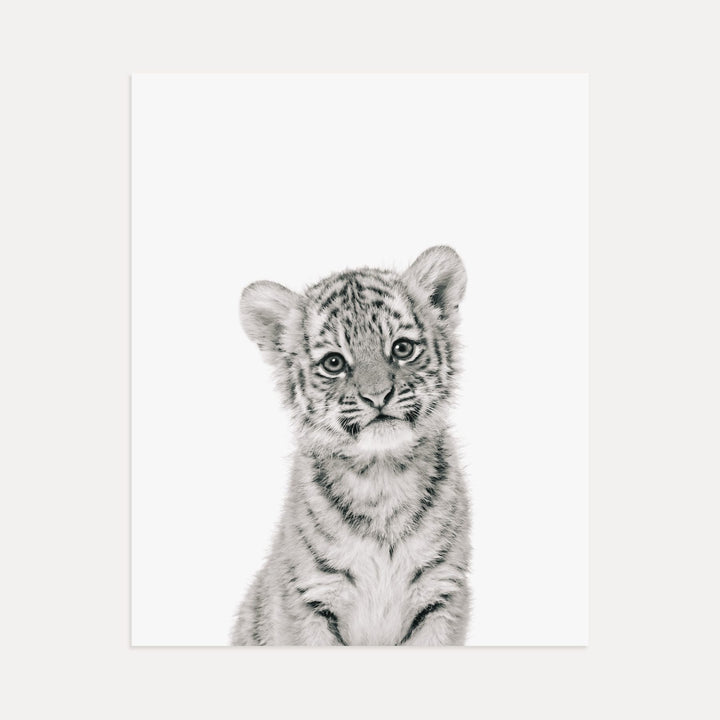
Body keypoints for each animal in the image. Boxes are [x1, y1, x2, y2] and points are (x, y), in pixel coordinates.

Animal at [231, 245, 471, 646]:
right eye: (334, 362)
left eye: (402, 348)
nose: (378, 396)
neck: (382, 477)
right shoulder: (309, 599)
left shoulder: (441, 594)